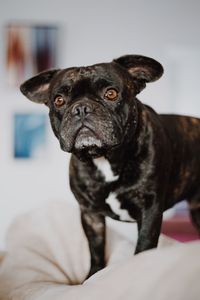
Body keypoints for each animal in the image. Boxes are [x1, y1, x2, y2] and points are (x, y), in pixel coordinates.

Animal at [19, 55, 200, 278]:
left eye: (111, 94)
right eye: (59, 100)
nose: (81, 108)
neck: (103, 157)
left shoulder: (150, 210)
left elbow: (143, 246)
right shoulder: (90, 215)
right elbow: (95, 249)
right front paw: (92, 276)